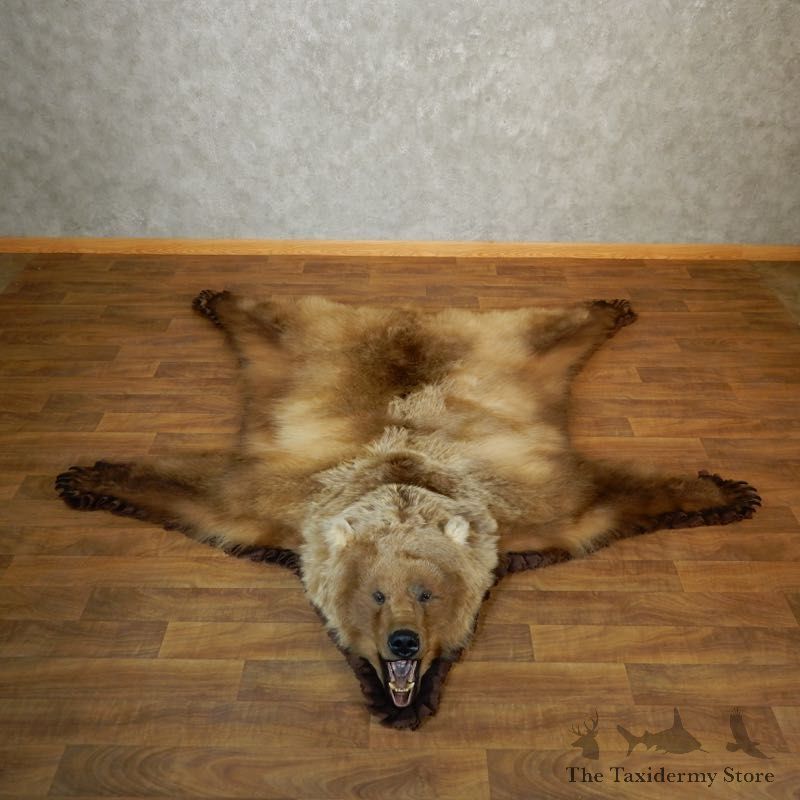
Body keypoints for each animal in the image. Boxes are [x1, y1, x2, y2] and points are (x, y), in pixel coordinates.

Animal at [56, 291, 761, 729]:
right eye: (373, 596)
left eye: (428, 595)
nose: (403, 643)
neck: (401, 476)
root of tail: (407, 316)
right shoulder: (272, 501)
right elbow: (194, 488)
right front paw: (87, 475)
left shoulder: (532, 503)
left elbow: (610, 494)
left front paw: (724, 492)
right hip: (310, 341)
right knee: (274, 318)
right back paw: (218, 297)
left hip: (506, 348)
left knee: (548, 327)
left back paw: (608, 305)